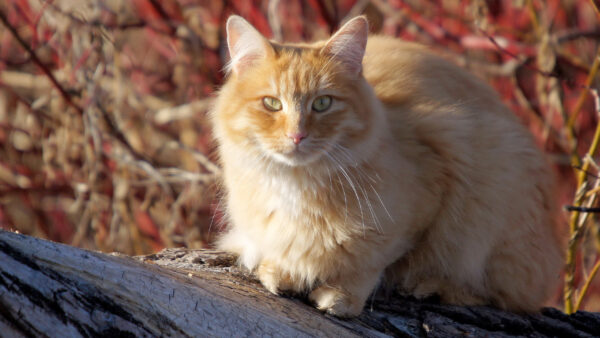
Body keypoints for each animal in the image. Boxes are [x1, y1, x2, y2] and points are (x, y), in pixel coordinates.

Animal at [210, 15, 564, 316]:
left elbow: (369, 264)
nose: (297, 135)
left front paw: (341, 296)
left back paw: (432, 287)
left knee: (501, 295)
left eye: (322, 103)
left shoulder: (427, 199)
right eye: (272, 104)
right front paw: (282, 273)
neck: (297, 185)